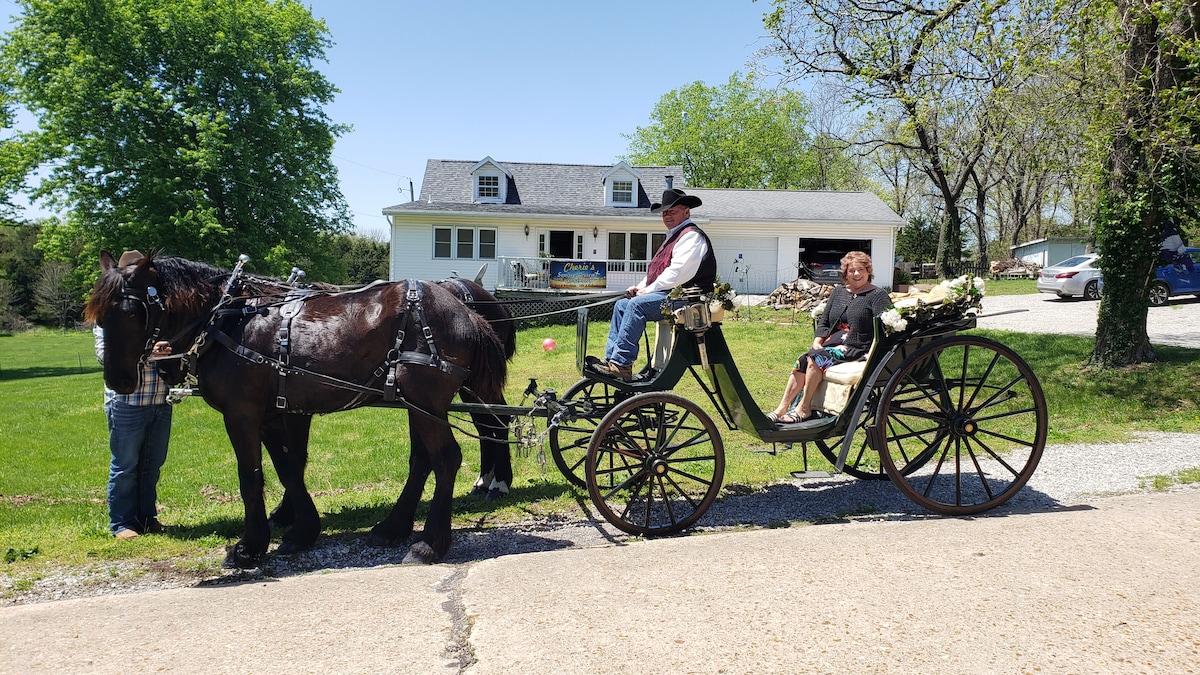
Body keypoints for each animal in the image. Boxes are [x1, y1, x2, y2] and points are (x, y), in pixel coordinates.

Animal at [84, 250, 508, 568]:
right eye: (98, 316)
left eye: (133, 311)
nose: (119, 381)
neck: (229, 321)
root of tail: (465, 308)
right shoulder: (275, 413)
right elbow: (289, 467)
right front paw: (302, 530)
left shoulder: (241, 414)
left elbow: (251, 477)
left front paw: (249, 547)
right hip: (418, 403)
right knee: (426, 458)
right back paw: (393, 527)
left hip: (427, 400)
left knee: (450, 456)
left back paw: (431, 542)